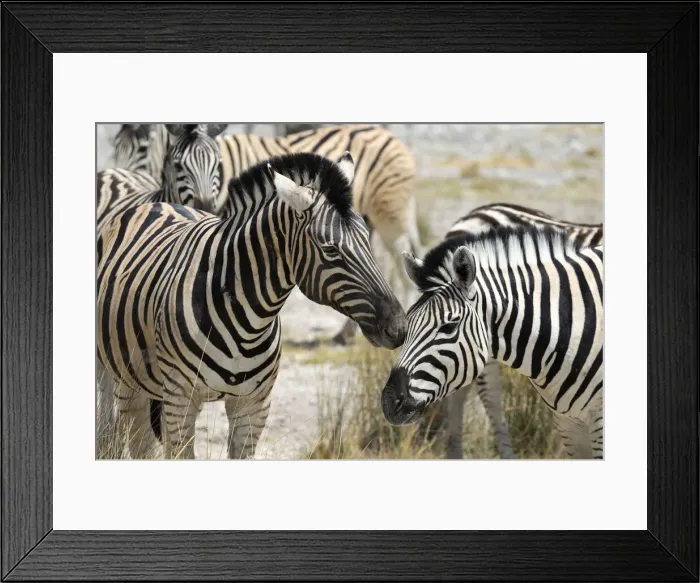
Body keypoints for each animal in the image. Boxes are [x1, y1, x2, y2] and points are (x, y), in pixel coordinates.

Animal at [97, 152, 407, 459]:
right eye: (330, 249)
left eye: (367, 240)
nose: (399, 329)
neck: (247, 320)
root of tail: (160, 203)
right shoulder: (179, 399)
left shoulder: (253, 406)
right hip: (122, 375)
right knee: (125, 433)